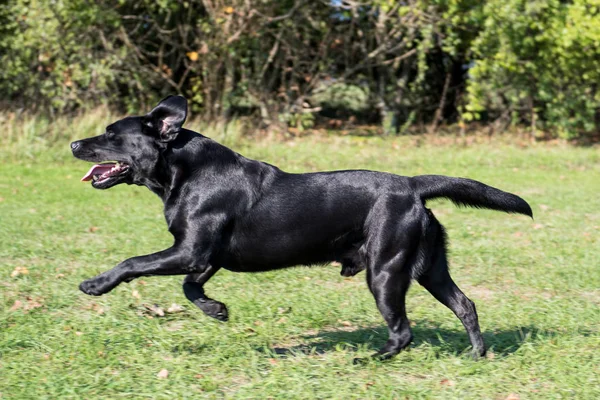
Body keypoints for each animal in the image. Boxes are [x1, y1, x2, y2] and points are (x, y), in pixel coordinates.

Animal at [70, 96, 528, 360]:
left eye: (111, 134)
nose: (74, 143)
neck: (183, 170)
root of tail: (413, 186)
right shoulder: (202, 257)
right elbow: (189, 288)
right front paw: (217, 310)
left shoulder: (190, 252)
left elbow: (134, 262)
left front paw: (95, 284)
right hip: (429, 268)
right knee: (465, 305)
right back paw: (476, 356)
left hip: (386, 272)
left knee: (403, 331)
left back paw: (368, 359)